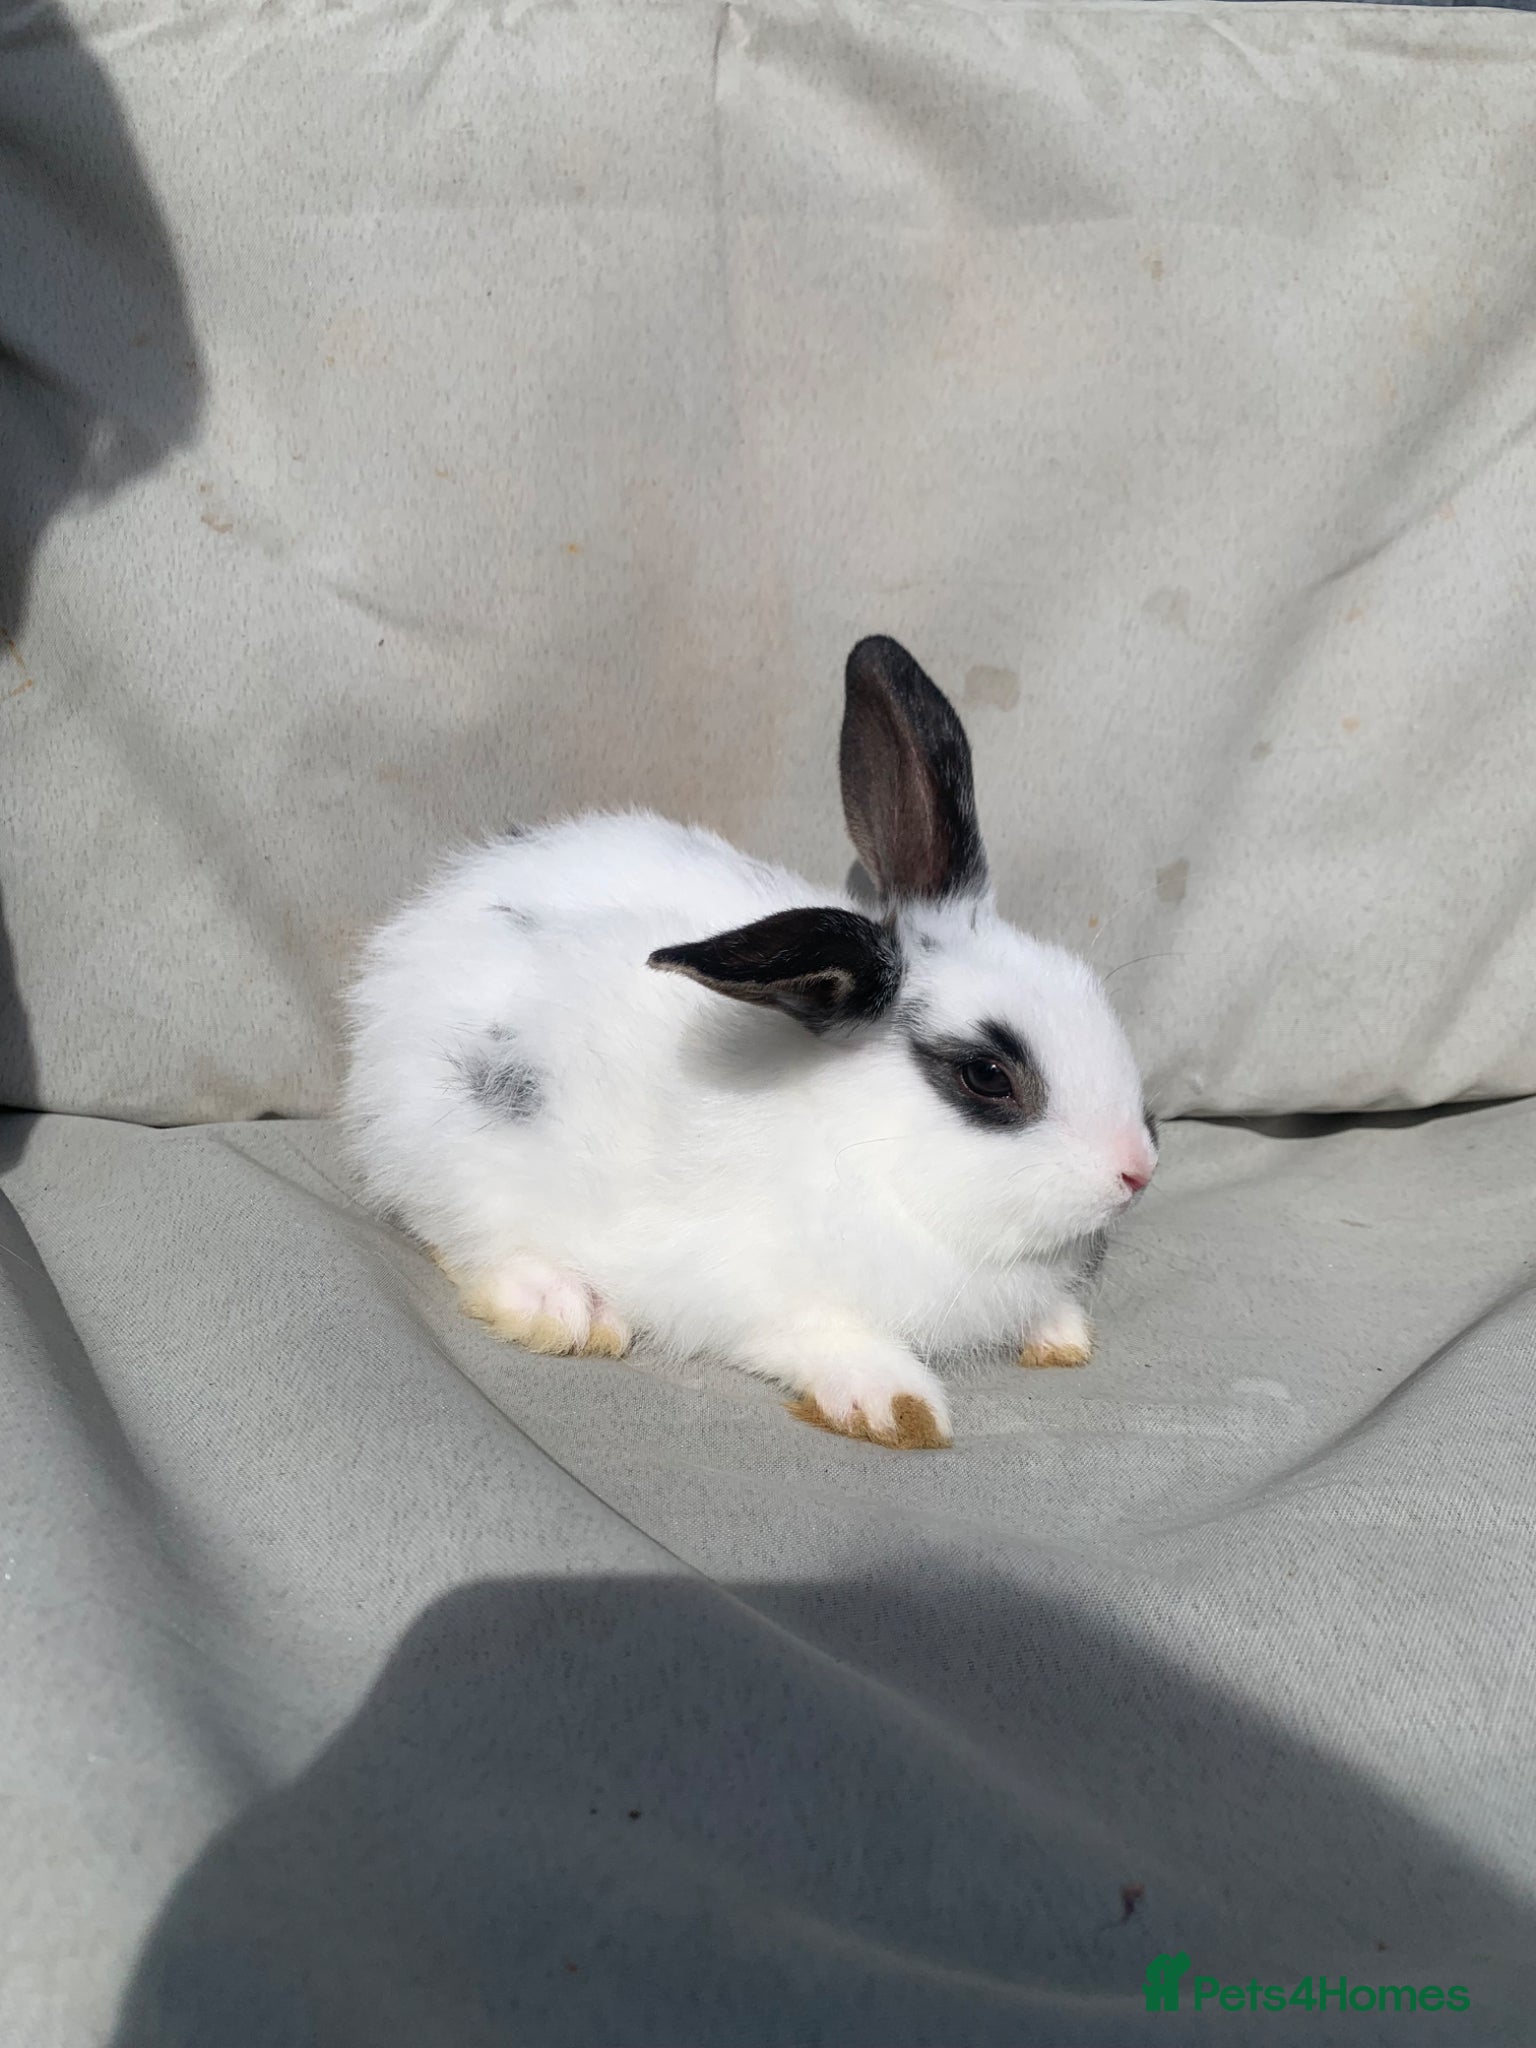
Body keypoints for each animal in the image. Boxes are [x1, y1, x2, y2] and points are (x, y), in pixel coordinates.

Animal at [342, 635, 1157, 1449]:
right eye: (986, 1075)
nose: (1138, 1171)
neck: (867, 1146)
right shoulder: (755, 1291)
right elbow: (827, 1336)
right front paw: (896, 1408)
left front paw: (1061, 1336)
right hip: (464, 1145)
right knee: (462, 1233)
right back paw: (564, 1310)